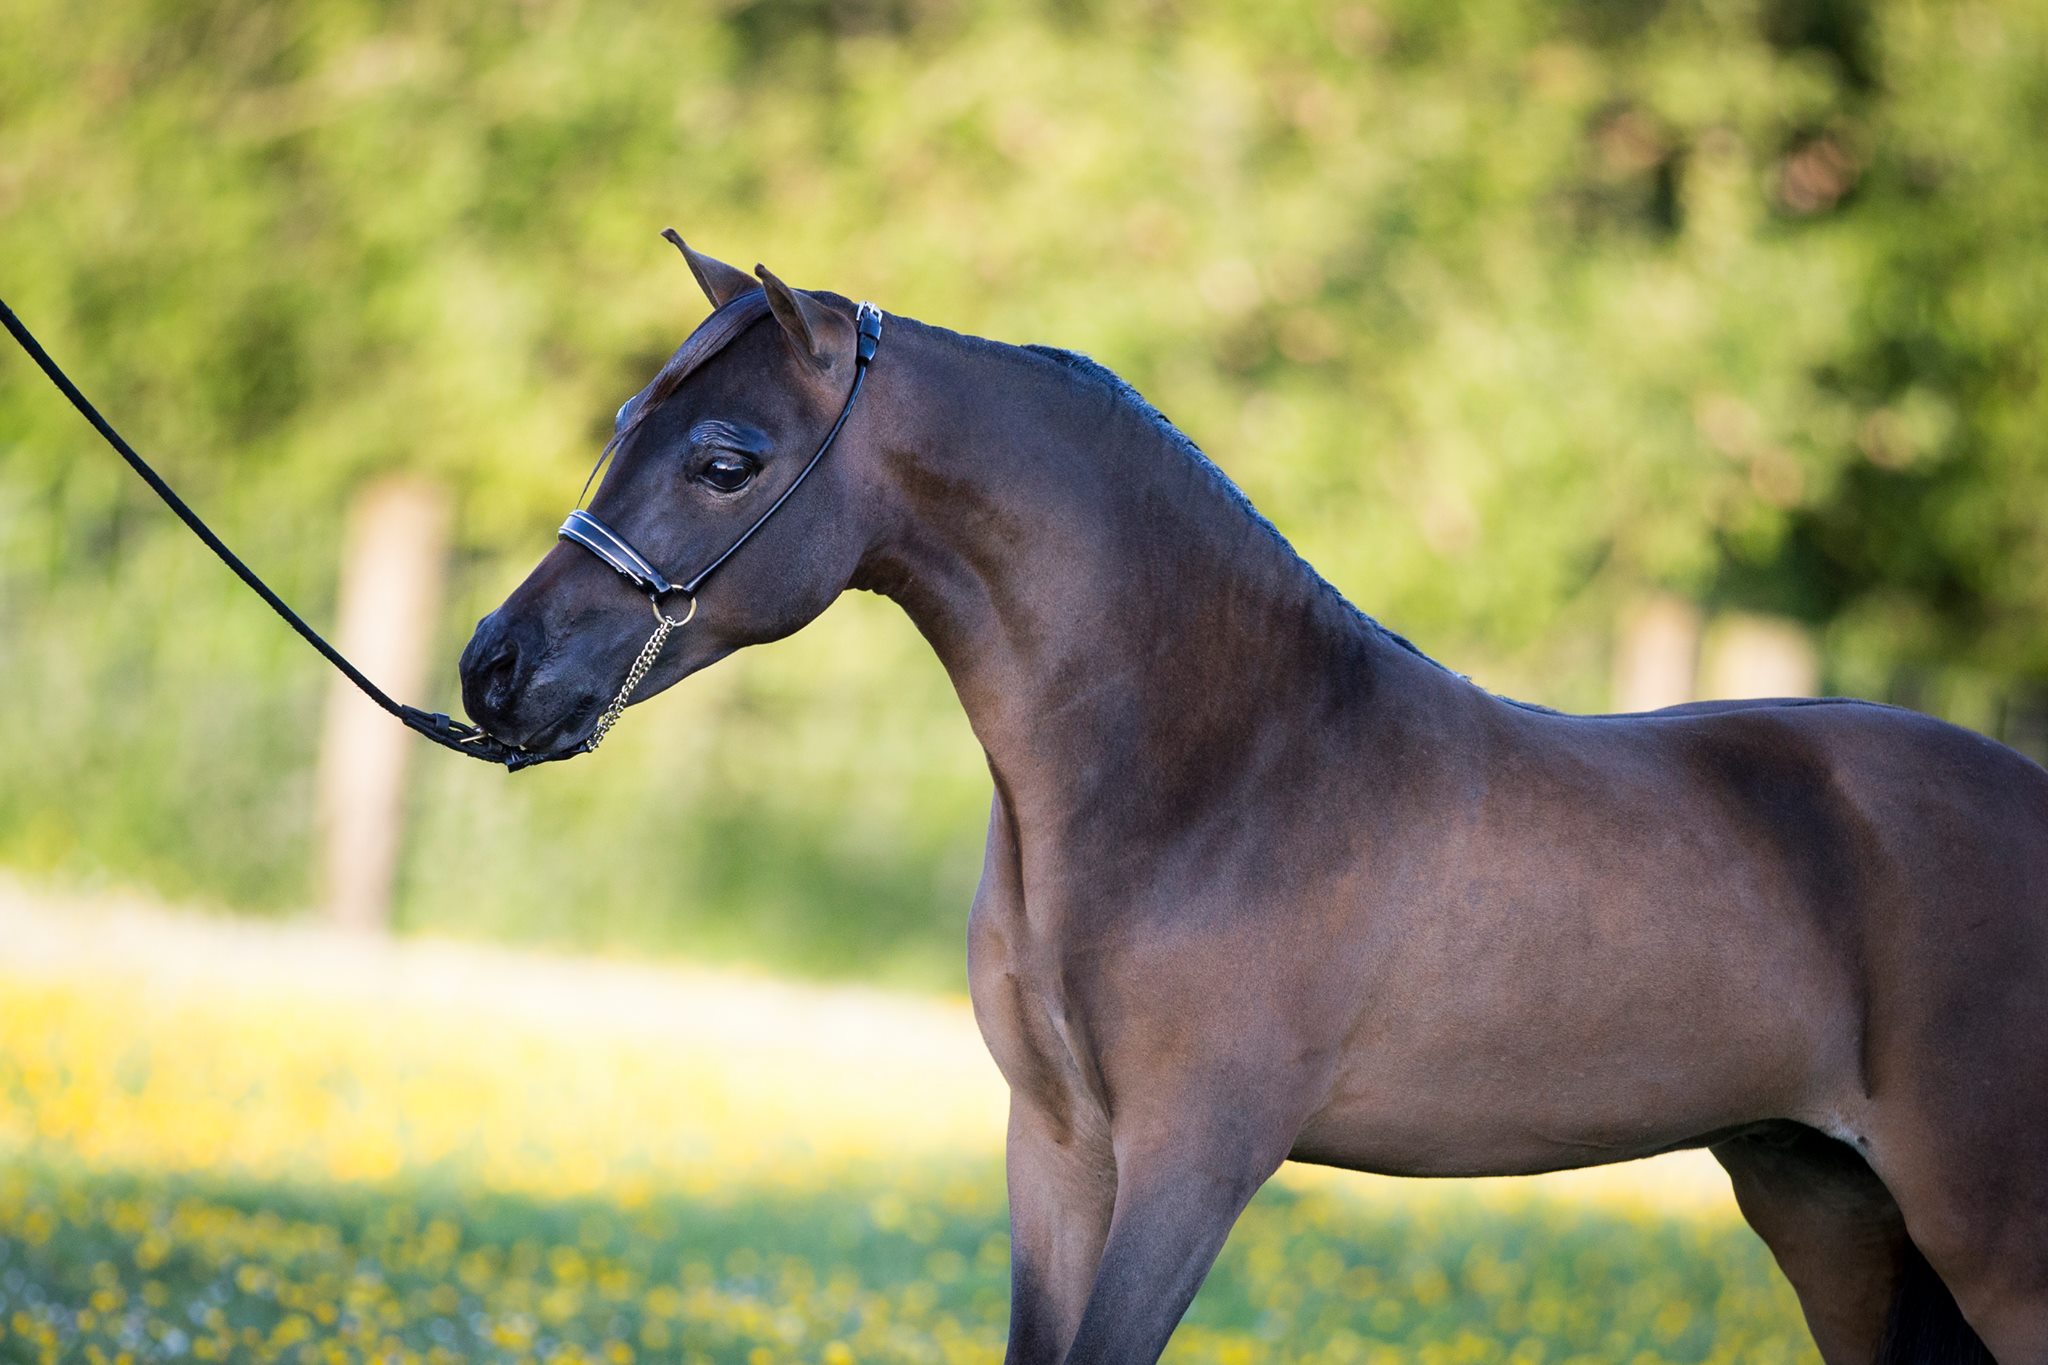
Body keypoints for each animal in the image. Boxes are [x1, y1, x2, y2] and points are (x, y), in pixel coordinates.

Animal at [458, 240, 2047, 1364]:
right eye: (624, 422)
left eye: (725, 462)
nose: (493, 668)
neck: (1216, 776)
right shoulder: (1055, 1148)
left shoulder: (1194, 1160)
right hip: (1824, 1200)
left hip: (1984, 1230)